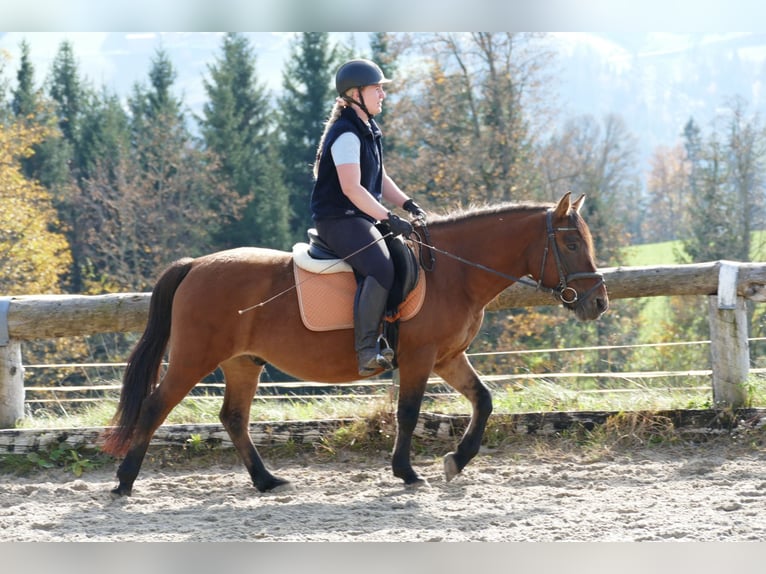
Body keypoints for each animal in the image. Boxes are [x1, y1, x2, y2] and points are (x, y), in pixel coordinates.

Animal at [103, 192, 608, 496]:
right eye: (570, 245)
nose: (599, 302)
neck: (454, 271)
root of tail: (194, 265)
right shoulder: (421, 356)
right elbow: (409, 412)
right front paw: (407, 472)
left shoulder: (448, 357)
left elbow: (483, 400)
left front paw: (456, 461)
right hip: (194, 357)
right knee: (155, 406)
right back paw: (124, 481)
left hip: (244, 362)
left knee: (233, 418)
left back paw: (267, 481)